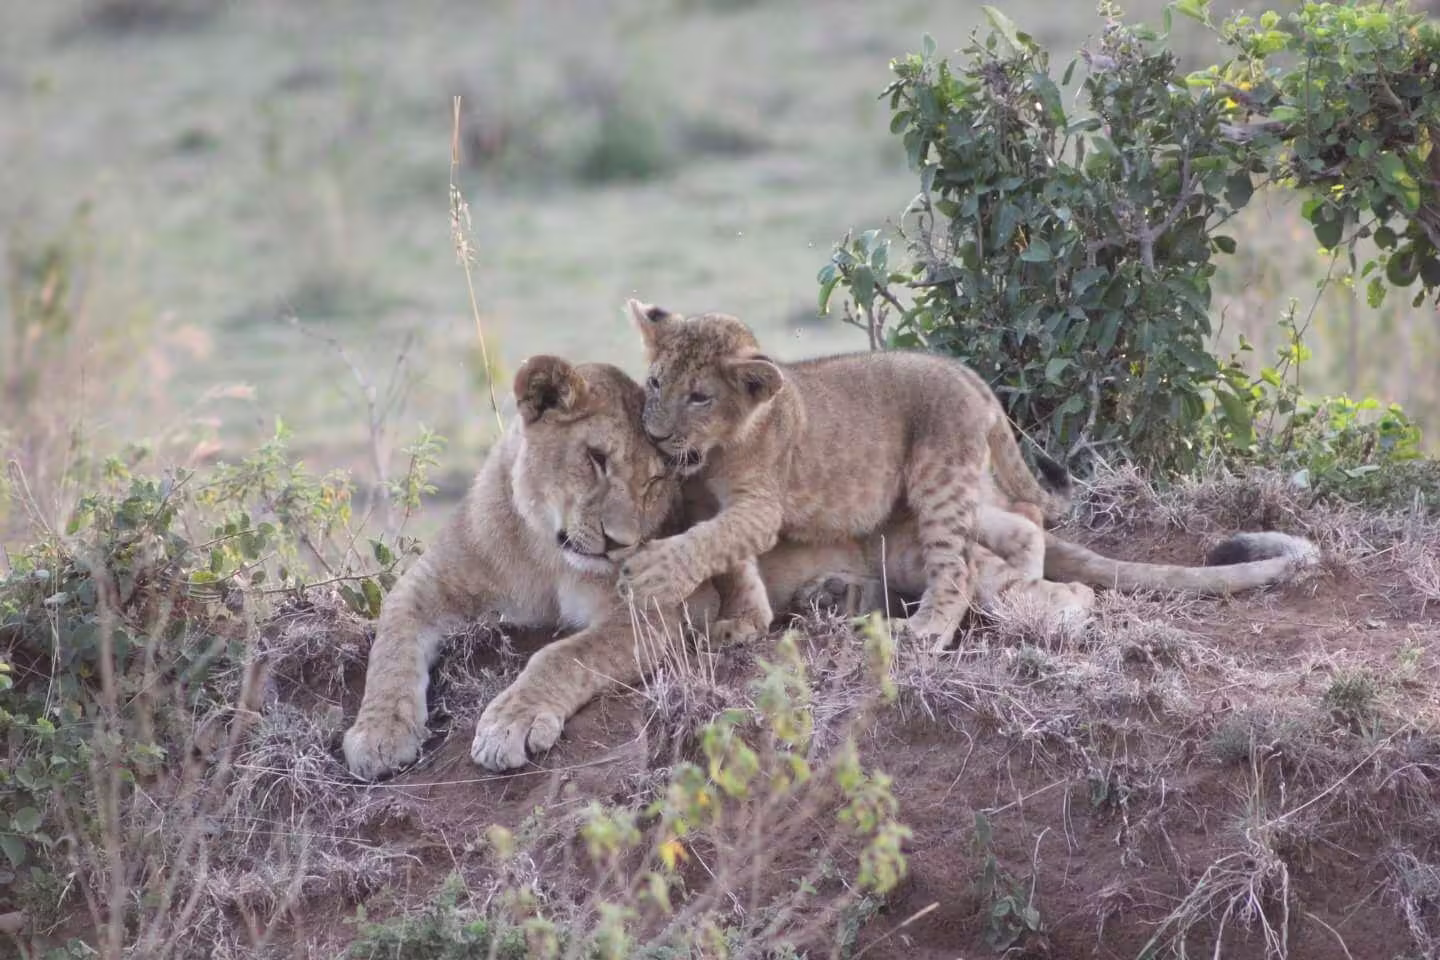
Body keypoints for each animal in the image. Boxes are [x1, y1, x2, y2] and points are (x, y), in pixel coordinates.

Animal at [342, 355, 717, 780]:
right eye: (597, 458)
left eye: (653, 481)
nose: (620, 542)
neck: (547, 558)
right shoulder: (425, 583)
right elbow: (391, 650)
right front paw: (378, 733)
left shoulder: (648, 613)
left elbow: (564, 655)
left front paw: (508, 724)